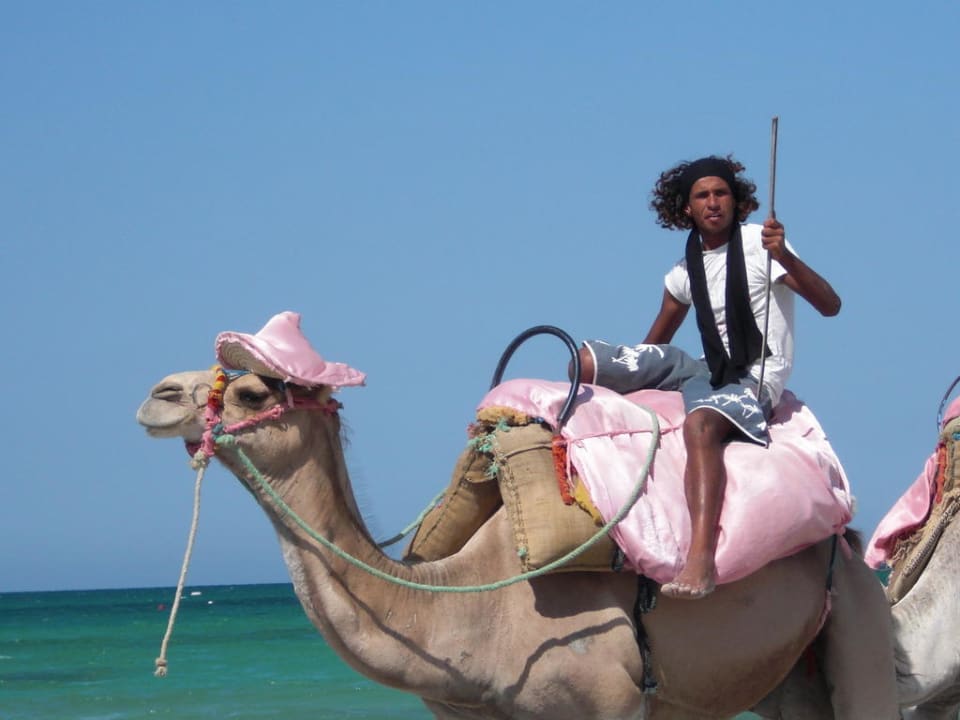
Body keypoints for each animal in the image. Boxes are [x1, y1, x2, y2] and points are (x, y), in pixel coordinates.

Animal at [137, 362, 899, 719]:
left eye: (254, 393)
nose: (158, 395)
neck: (469, 607)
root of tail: (845, 529)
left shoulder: (612, 702)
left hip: (859, 611)